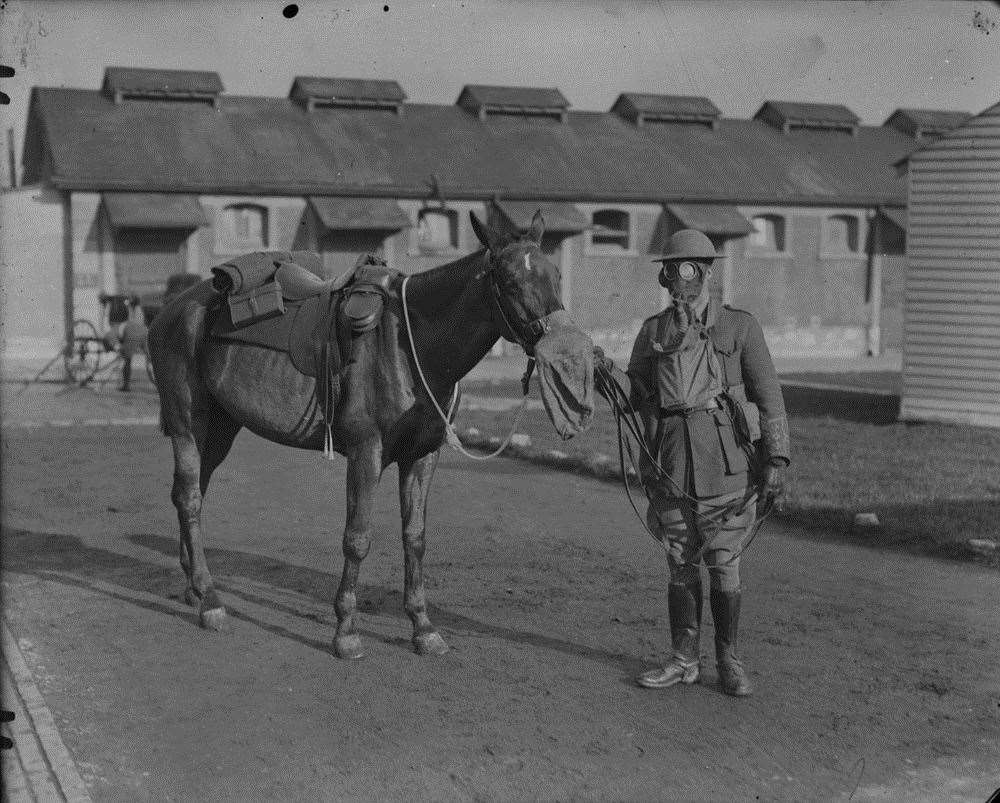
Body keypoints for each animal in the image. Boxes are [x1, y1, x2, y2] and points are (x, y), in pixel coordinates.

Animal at [146, 206, 592, 660]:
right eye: (511, 281)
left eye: (555, 275)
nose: (569, 347)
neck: (410, 346)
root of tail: (174, 309)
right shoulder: (366, 451)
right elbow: (357, 538)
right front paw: (346, 630)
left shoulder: (422, 455)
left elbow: (415, 537)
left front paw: (422, 627)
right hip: (188, 424)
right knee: (190, 498)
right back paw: (210, 601)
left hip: (220, 429)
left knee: (191, 493)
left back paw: (193, 587)